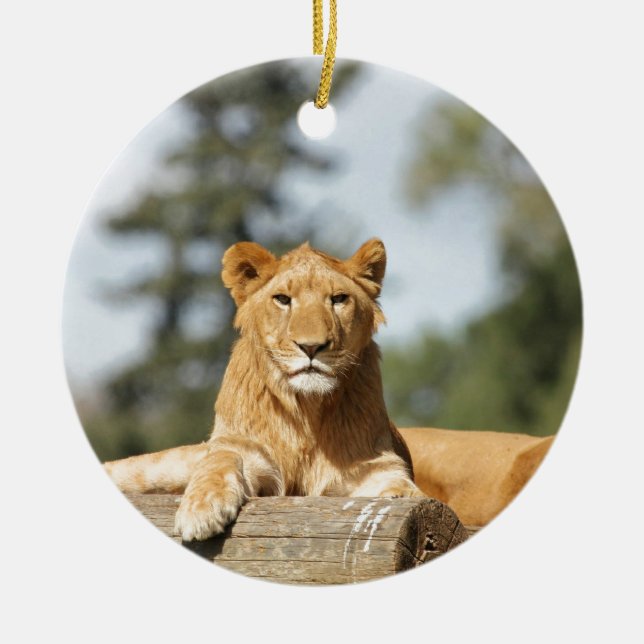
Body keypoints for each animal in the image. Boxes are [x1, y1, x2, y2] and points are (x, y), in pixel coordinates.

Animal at [106, 238, 424, 541]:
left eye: (338, 299)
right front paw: (201, 509)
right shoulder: (247, 450)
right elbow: (220, 460)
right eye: (282, 299)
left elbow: (399, 483)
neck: (307, 407)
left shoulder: (373, 465)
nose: (311, 347)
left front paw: (407, 495)